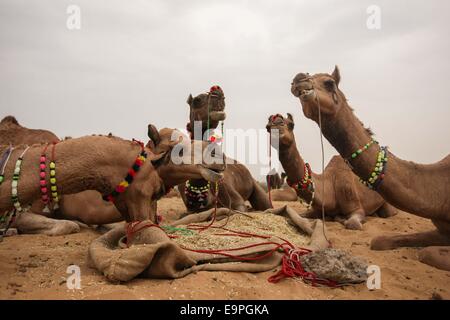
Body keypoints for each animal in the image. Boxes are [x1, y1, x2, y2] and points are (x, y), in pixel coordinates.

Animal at [178, 86, 270, 214]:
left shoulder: (235, 199)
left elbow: (239, 208)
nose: (218, 93)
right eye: (197, 100)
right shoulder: (190, 210)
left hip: (254, 184)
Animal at [266, 114, 396, 229]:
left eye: (291, 124)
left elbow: (352, 223)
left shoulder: (355, 206)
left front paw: (341, 219)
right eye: (268, 125)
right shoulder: (316, 209)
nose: (273, 125)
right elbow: (297, 215)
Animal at [292, 66, 450, 272]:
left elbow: (353, 224)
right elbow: (378, 241)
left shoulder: (355, 205)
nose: (298, 79)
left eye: (329, 82)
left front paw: (343, 220)